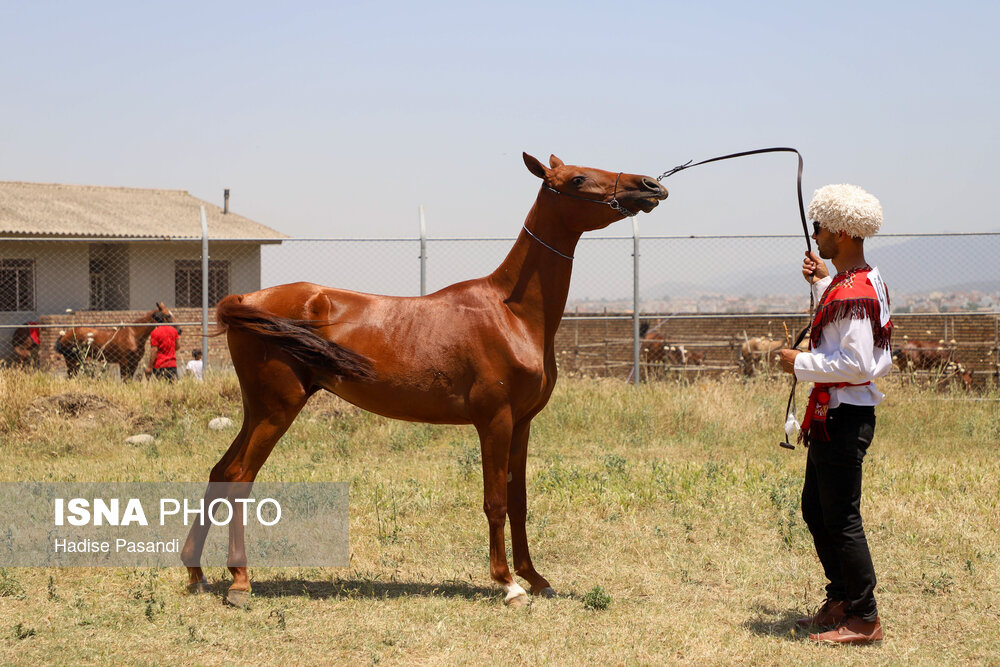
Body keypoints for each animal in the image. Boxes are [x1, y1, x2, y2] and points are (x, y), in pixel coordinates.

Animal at [184, 154, 668, 608]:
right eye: (578, 179)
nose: (651, 186)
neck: (510, 312)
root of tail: (245, 298)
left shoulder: (522, 423)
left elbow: (519, 502)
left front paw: (536, 578)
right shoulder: (495, 421)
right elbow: (495, 501)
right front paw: (508, 584)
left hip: (257, 409)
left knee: (221, 471)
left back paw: (196, 573)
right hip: (278, 409)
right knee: (240, 477)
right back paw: (240, 582)